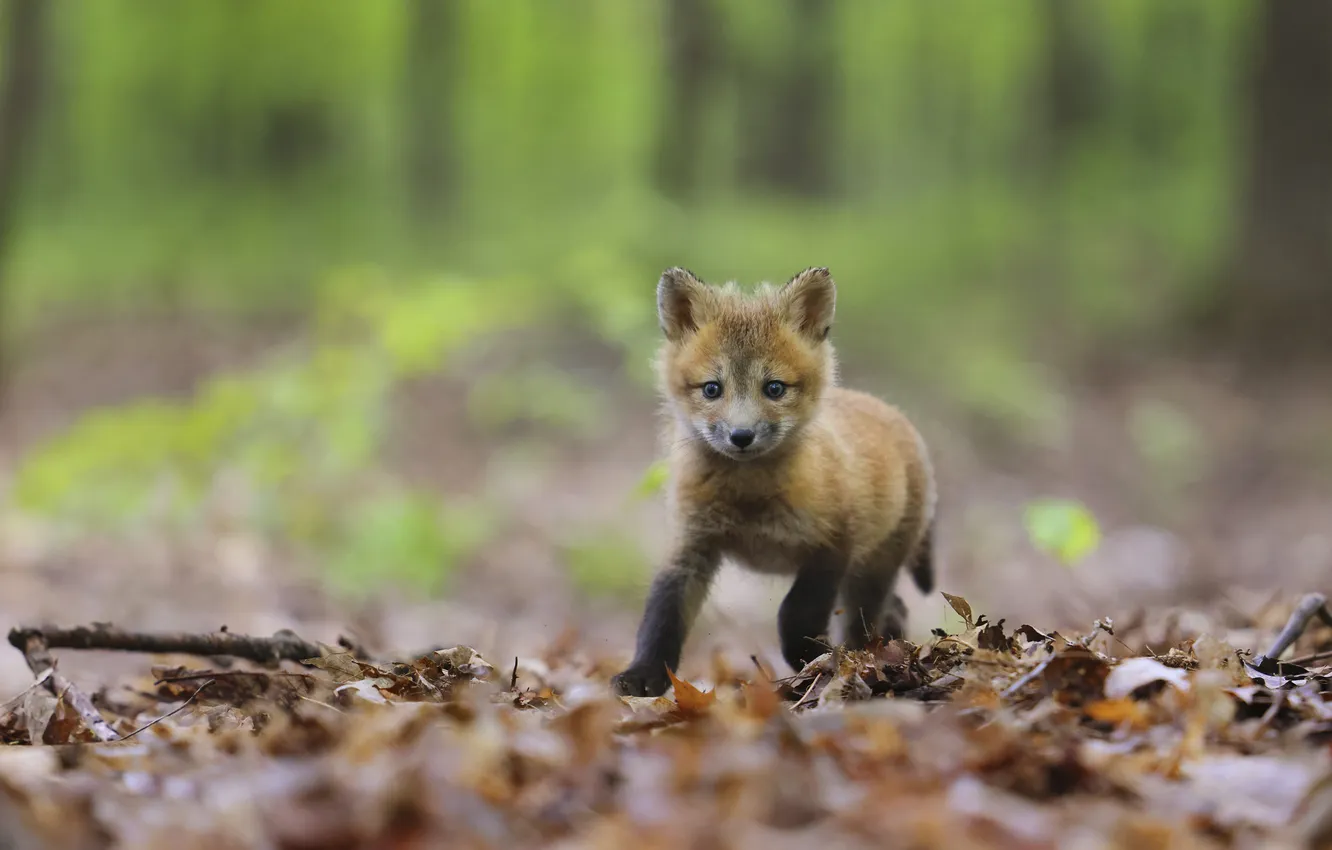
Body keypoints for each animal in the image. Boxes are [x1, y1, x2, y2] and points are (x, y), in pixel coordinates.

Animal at [610, 266, 937, 698]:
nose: (741, 436)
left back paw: (864, 659)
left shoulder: (832, 543)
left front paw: (810, 660)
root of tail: (895, 414)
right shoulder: (691, 544)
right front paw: (644, 675)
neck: (750, 500)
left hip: (871, 569)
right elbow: (662, 616)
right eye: (712, 388)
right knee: (893, 607)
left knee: (868, 619)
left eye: (774, 388)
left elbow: (794, 614)